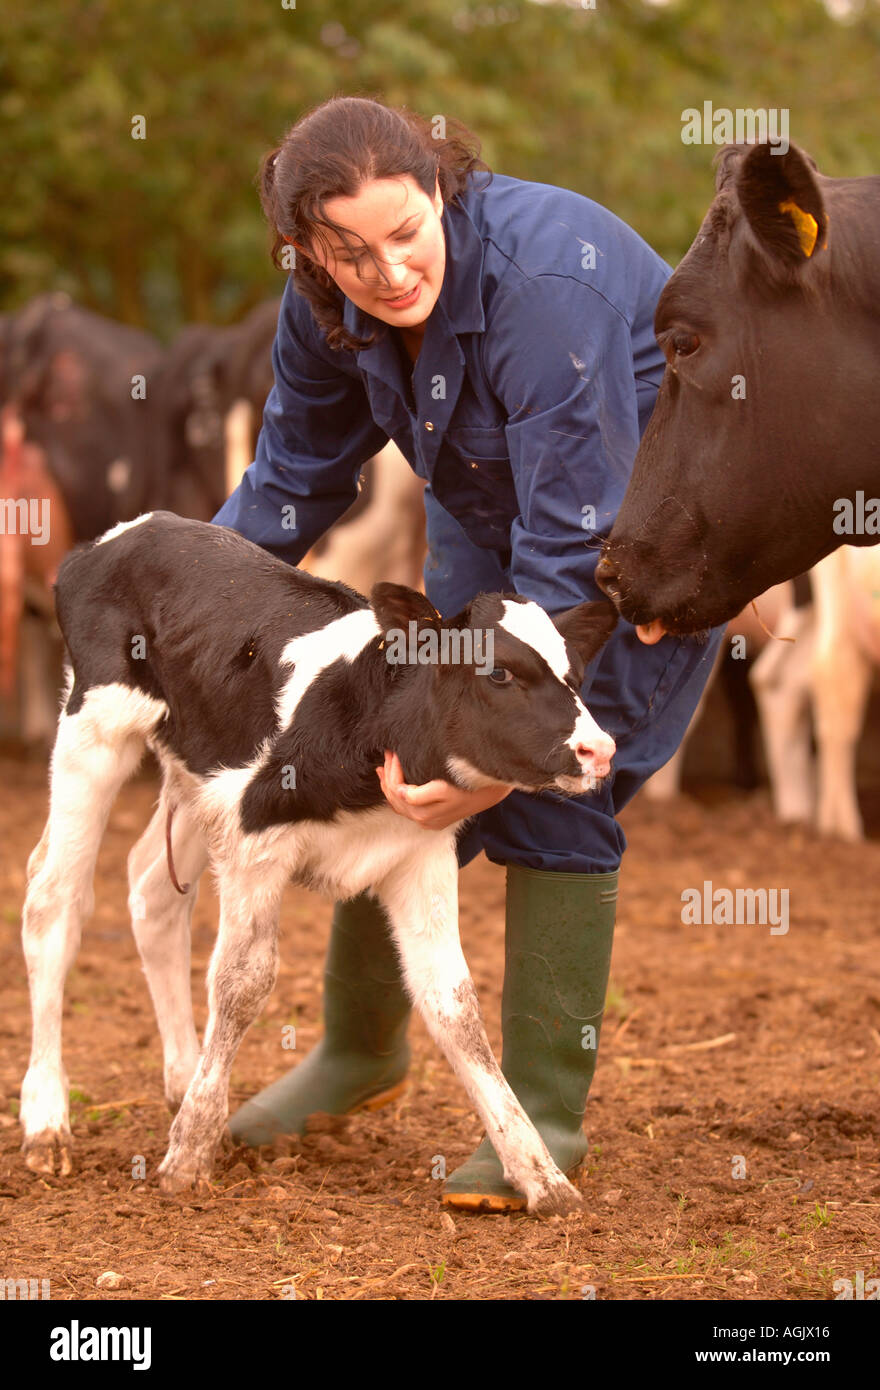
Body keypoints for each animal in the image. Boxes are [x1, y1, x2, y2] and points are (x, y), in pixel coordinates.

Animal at [17, 514, 614, 1217]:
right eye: (497, 674)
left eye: (576, 675)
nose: (600, 748)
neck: (373, 727)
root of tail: (130, 530)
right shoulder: (253, 839)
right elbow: (243, 983)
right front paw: (189, 1156)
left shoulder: (419, 856)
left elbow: (455, 1009)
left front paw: (540, 1176)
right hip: (97, 729)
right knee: (52, 899)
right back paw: (47, 1121)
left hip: (194, 771)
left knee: (152, 890)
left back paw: (181, 1082)